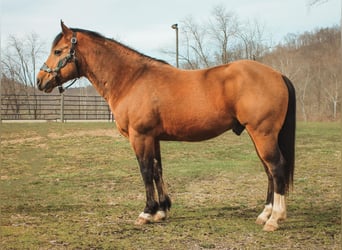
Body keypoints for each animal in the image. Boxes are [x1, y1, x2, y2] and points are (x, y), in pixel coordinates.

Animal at [36, 22, 296, 231]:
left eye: (57, 51)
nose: (40, 80)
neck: (131, 79)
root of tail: (278, 74)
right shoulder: (154, 138)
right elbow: (157, 170)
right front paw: (161, 211)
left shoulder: (140, 136)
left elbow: (145, 171)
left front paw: (146, 212)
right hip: (259, 136)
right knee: (269, 171)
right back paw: (264, 214)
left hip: (262, 134)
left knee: (276, 168)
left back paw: (275, 218)